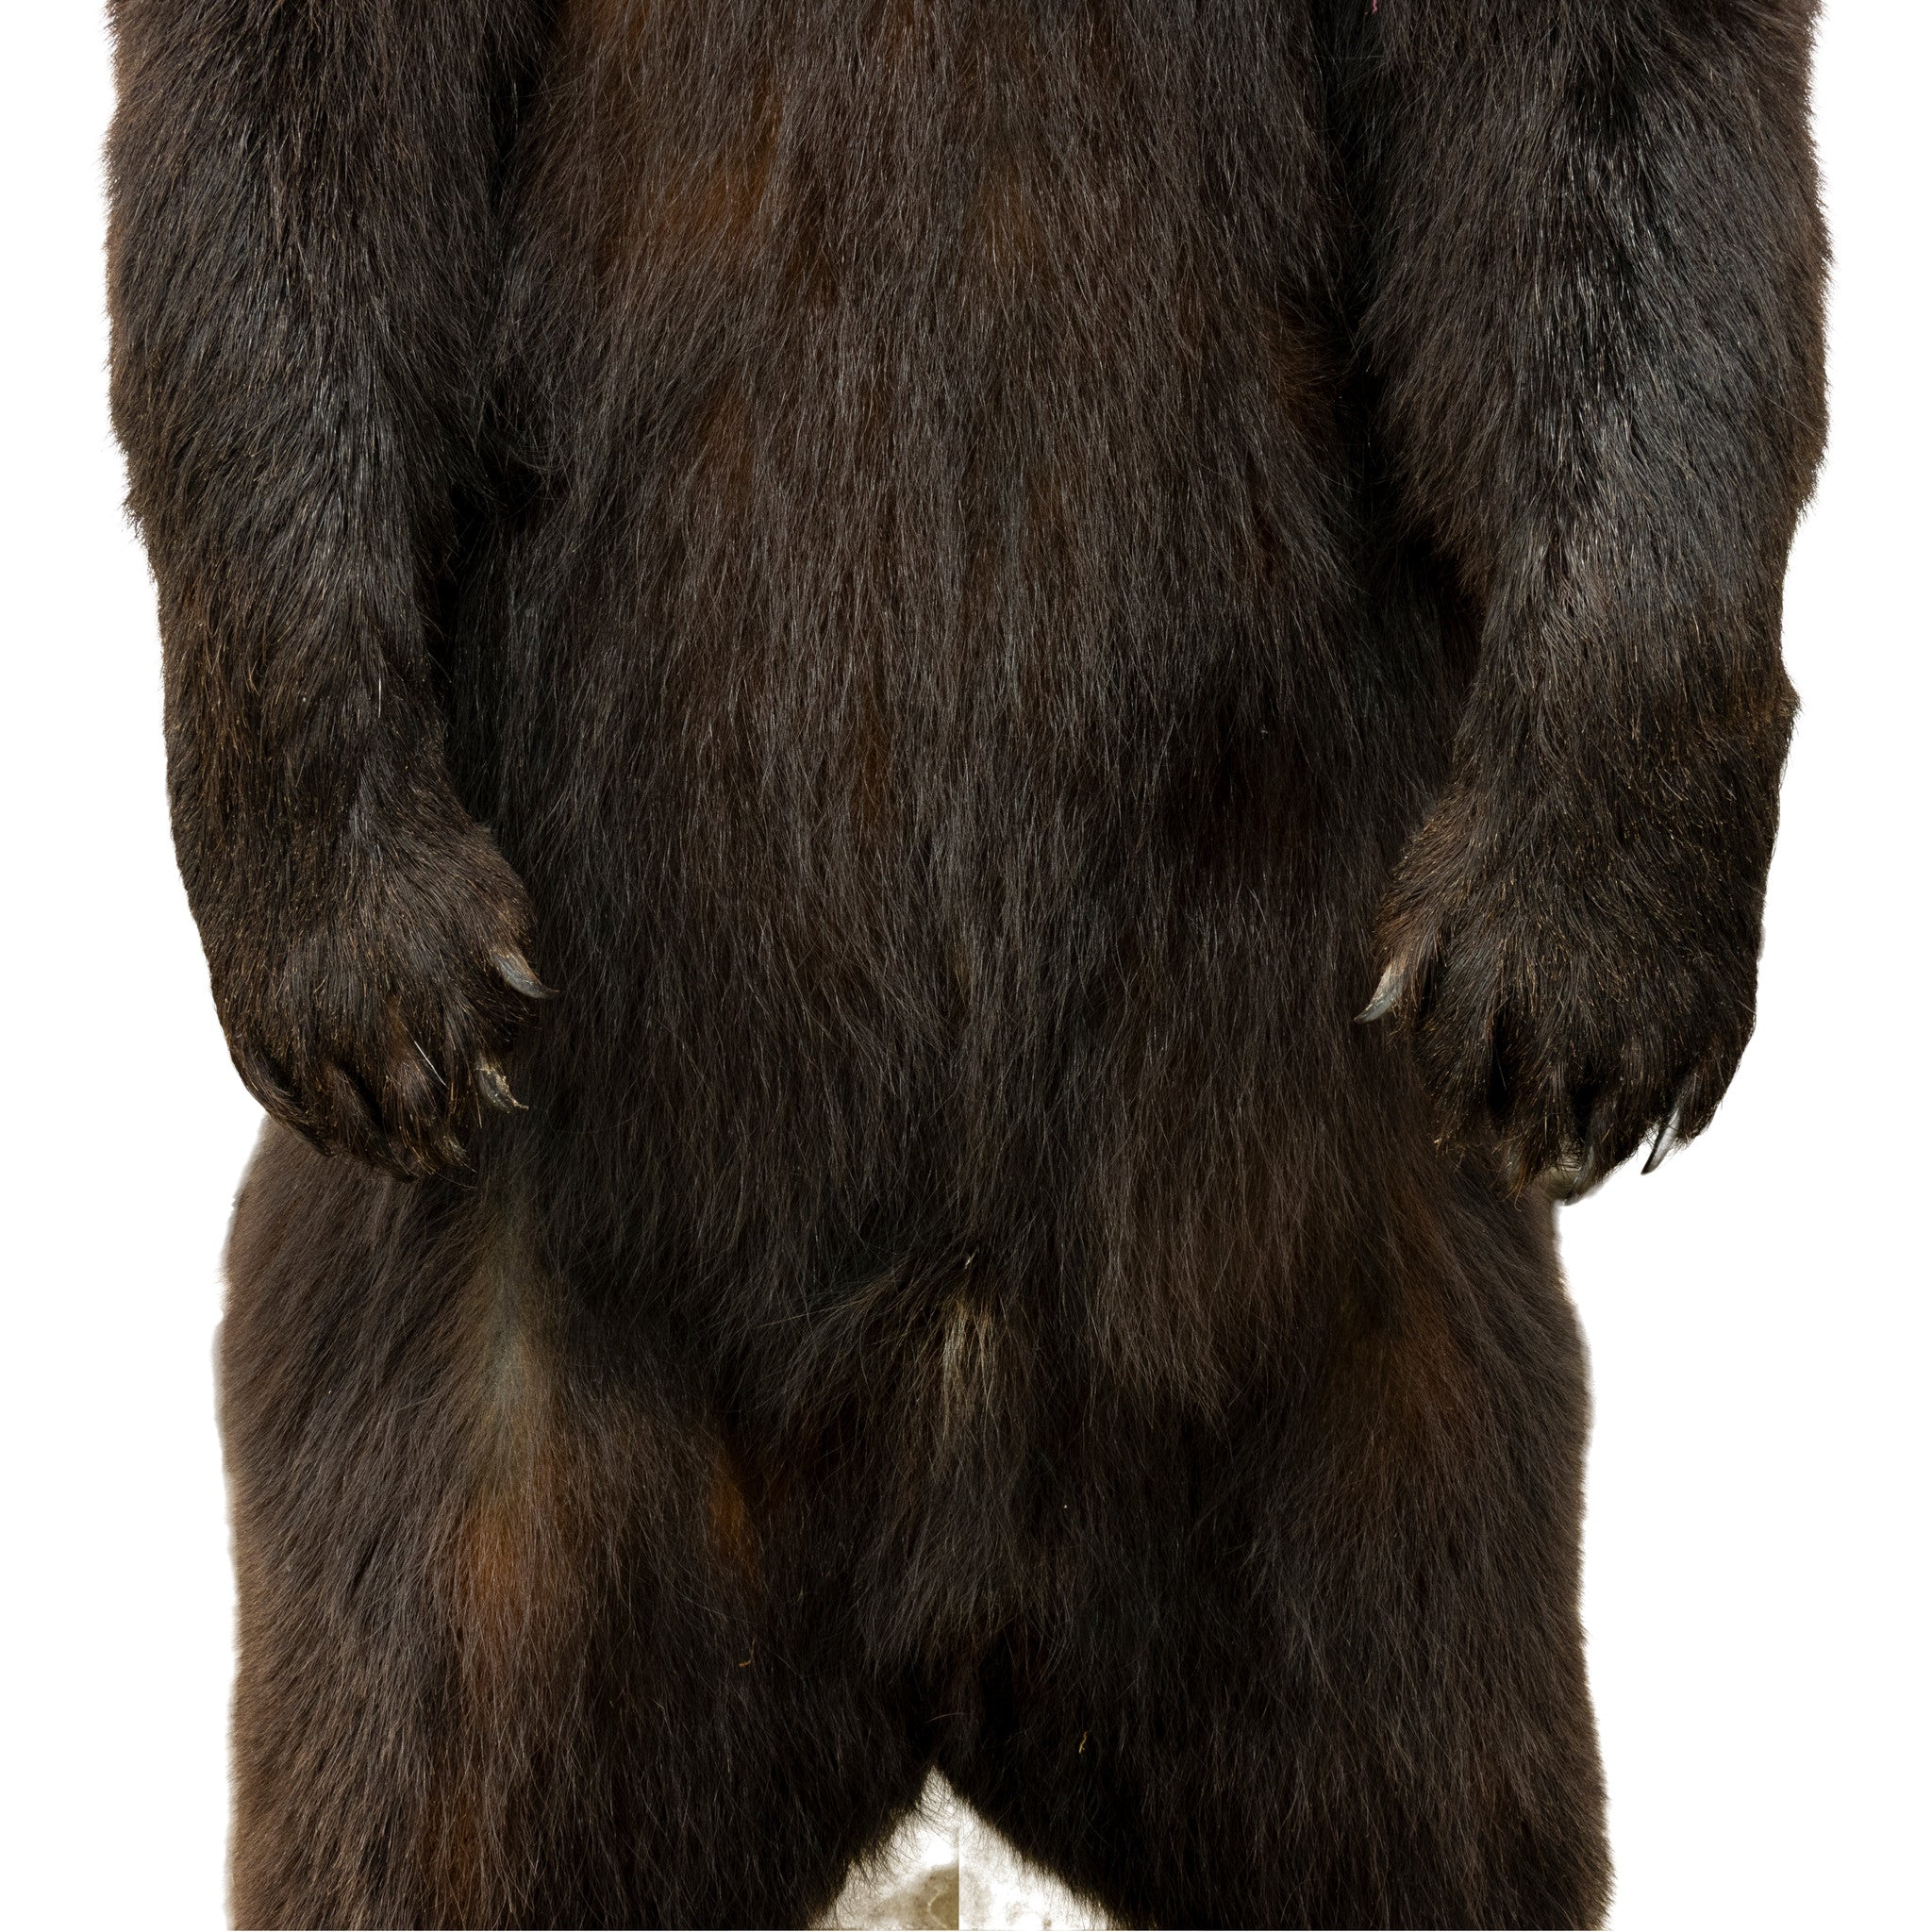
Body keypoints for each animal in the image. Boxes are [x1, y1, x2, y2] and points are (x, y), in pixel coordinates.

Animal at [105, 0, 1826, 1924]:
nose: (390, 1003)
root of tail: (941, 1647)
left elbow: (1596, 138)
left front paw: (1583, 963)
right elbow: (300, 138)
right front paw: (361, 966)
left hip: (1360, 1381)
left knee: (1427, 1791)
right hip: (509, 1371)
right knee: (442, 1764)